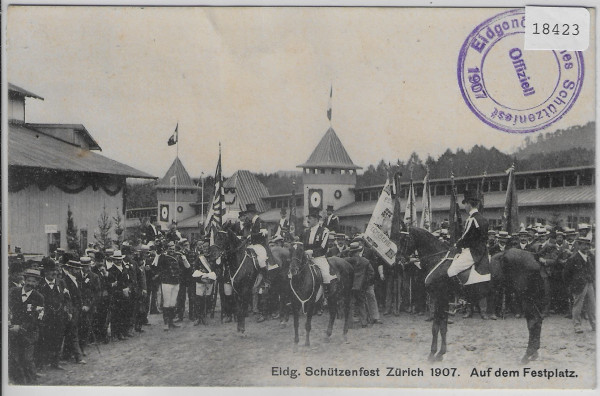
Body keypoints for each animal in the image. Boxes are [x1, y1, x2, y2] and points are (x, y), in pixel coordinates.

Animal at [396, 224, 548, 364]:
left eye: (404, 239)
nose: (399, 260)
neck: (438, 260)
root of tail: (534, 255)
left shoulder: (439, 297)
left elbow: (435, 327)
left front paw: (432, 354)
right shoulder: (444, 299)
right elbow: (443, 327)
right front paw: (440, 353)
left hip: (525, 297)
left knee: (533, 321)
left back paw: (526, 356)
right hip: (530, 297)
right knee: (538, 320)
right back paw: (534, 353)